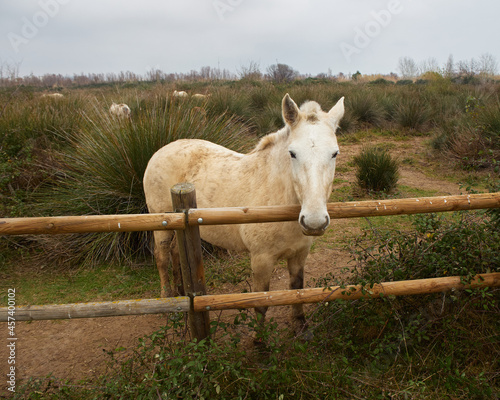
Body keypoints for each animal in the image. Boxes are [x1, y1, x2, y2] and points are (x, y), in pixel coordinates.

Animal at [143, 93, 342, 332]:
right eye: (292, 153)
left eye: (334, 153)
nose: (314, 222)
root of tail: (162, 149)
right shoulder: (261, 260)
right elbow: (261, 304)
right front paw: (259, 339)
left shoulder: (299, 255)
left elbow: (297, 291)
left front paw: (300, 326)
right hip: (161, 223)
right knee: (162, 257)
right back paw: (168, 301)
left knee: (175, 252)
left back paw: (181, 293)